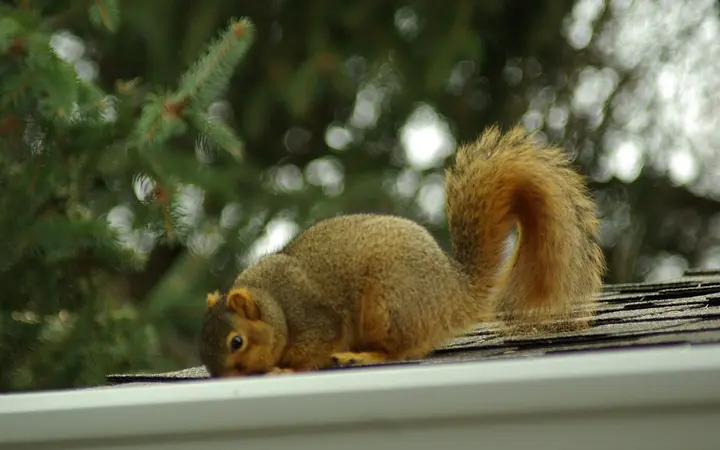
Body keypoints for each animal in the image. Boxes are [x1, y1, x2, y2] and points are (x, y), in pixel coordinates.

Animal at [198, 125, 605, 377]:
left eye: (237, 342)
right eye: (202, 349)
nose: (223, 378)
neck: (274, 305)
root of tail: (454, 293)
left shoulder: (314, 320)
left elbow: (312, 351)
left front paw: (284, 368)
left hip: (389, 305)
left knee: (400, 351)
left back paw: (362, 354)